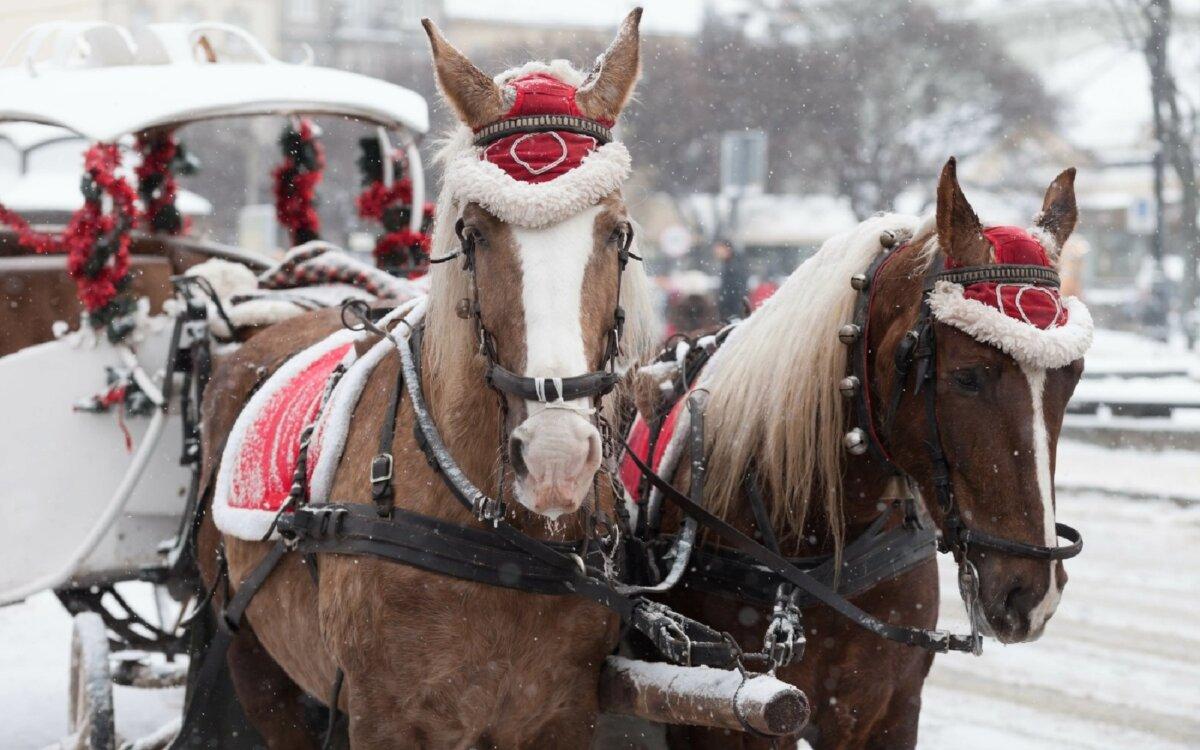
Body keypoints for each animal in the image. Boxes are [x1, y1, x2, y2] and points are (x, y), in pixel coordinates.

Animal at [192, 11, 658, 748]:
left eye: (616, 231)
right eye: (475, 231)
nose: (554, 457)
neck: (503, 539)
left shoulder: (562, 712)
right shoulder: (384, 715)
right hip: (256, 665)